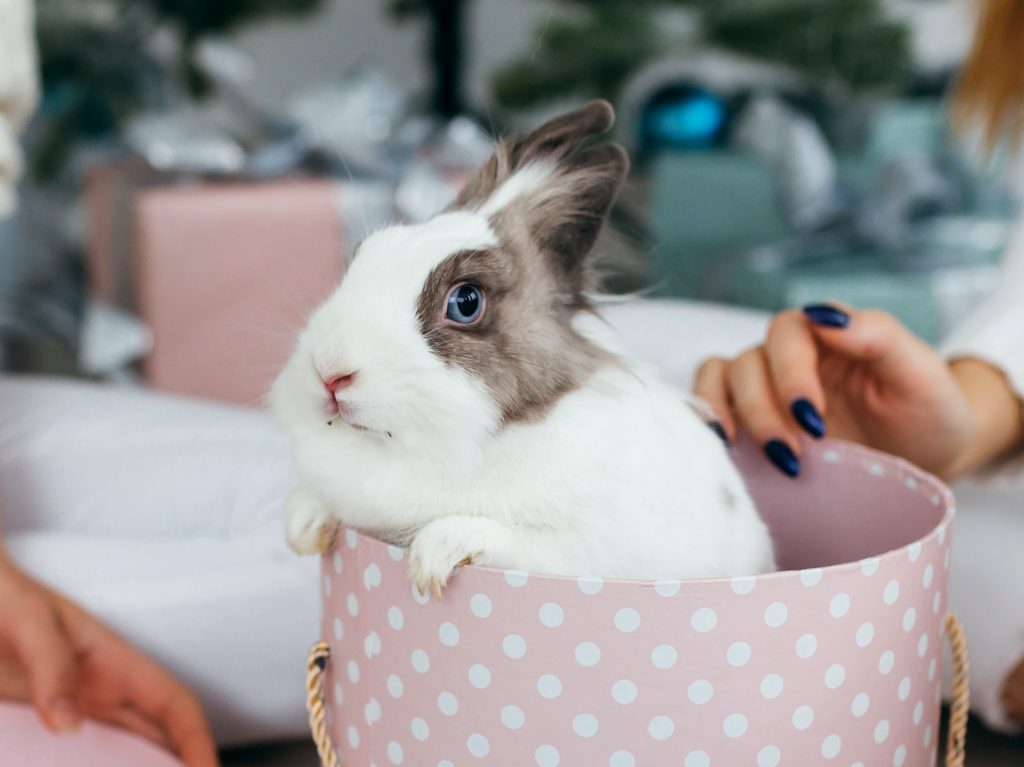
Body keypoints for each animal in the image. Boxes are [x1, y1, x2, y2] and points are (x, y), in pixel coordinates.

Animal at [270, 100, 776, 596]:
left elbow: (511, 541)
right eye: (364, 254)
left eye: (466, 301)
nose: (330, 371)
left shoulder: (587, 556)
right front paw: (303, 522)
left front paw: (437, 552)